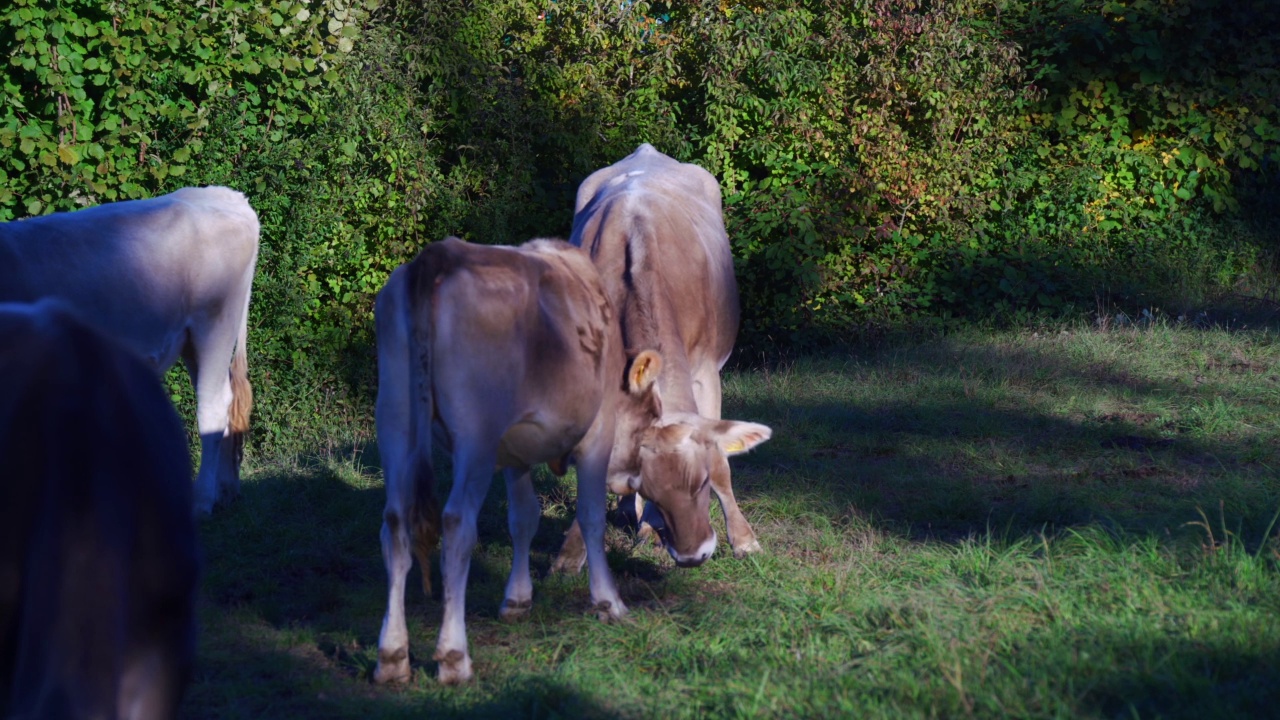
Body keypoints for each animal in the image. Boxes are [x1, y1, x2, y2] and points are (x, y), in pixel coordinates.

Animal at [0, 184, 259, 509]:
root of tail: (228, 196)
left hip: (214, 323)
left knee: (214, 405)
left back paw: (201, 501)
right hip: (191, 340)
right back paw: (225, 490)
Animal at [565, 144, 773, 561]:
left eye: (702, 482)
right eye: (645, 485)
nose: (692, 554)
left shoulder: (706, 373)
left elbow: (722, 459)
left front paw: (743, 539)